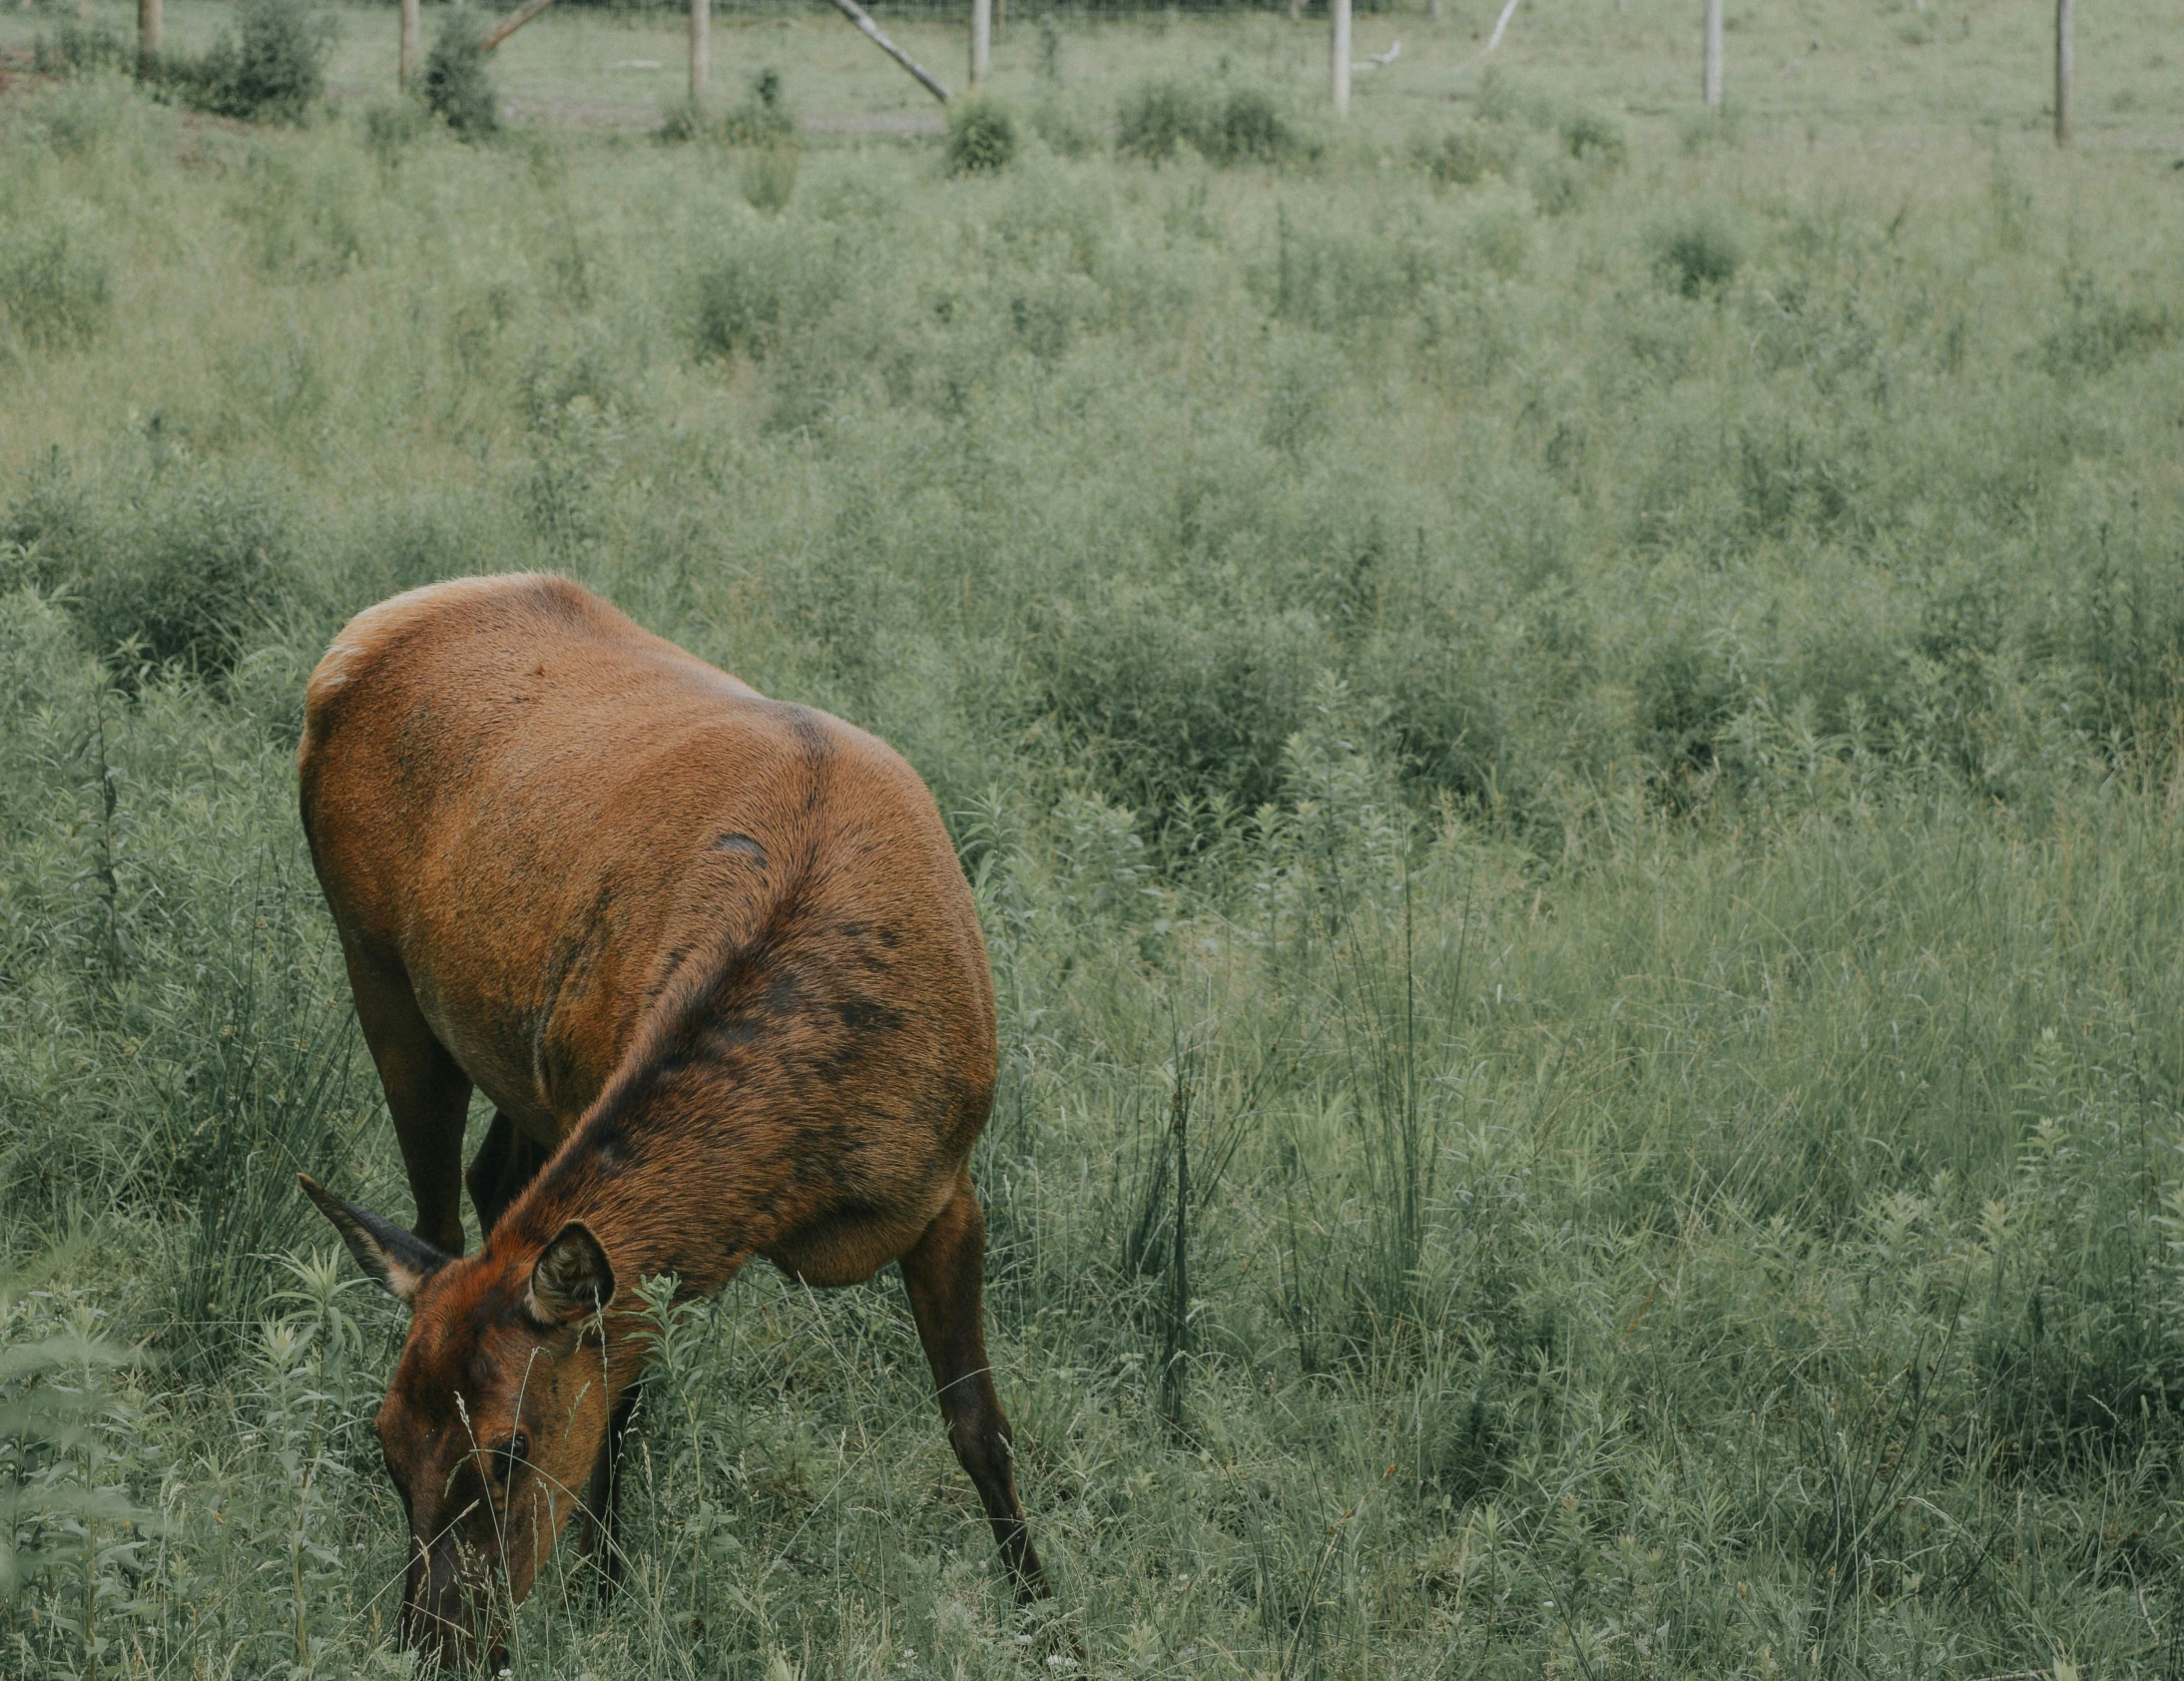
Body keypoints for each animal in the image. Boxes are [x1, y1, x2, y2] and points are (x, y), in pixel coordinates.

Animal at [294, 571, 1043, 1659]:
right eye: (385, 1442)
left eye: (507, 1451)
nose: (432, 1643)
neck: (793, 1187)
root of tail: (360, 635)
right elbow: (620, 1414)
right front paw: (604, 1596)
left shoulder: (948, 1183)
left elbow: (979, 1424)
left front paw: (1044, 1611)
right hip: (377, 965)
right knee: (439, 1209)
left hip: (500, 1044)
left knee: (482, 1183)